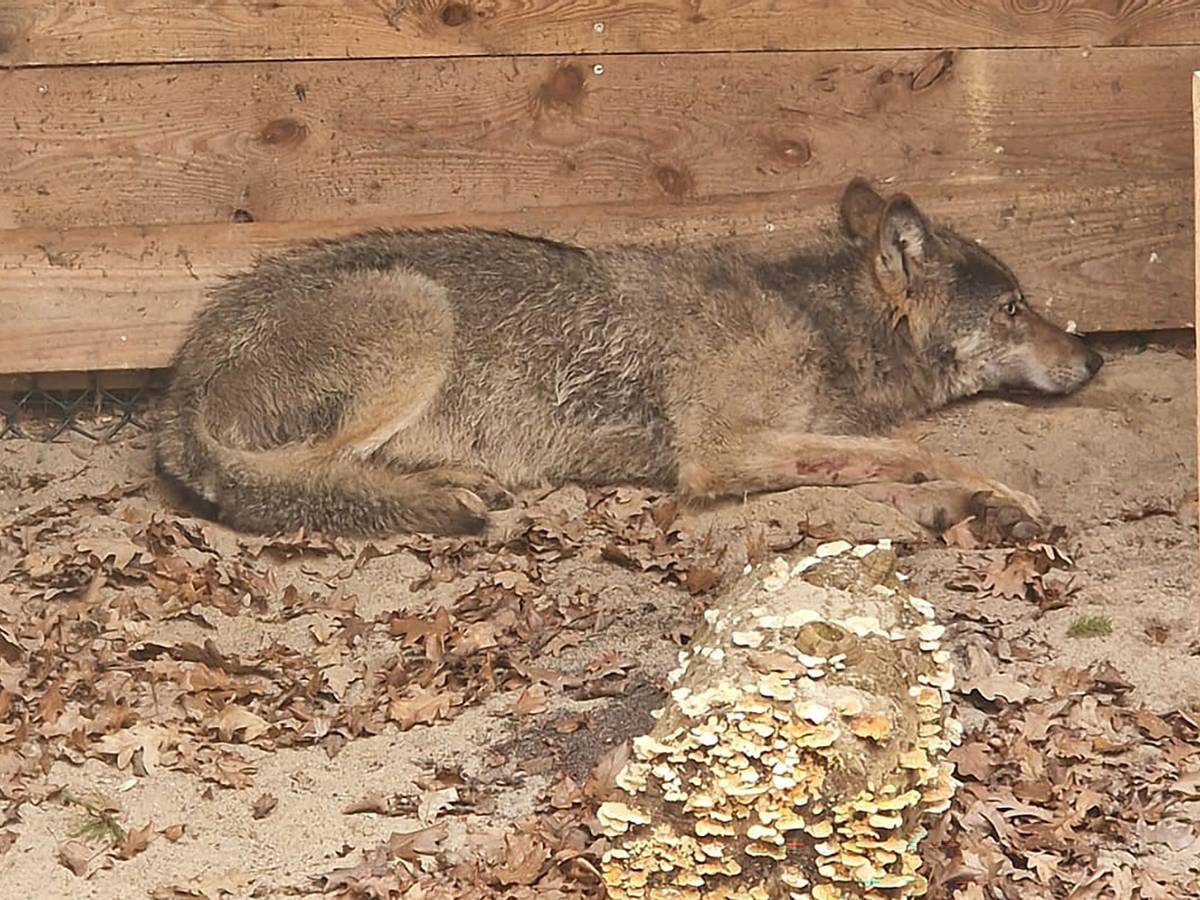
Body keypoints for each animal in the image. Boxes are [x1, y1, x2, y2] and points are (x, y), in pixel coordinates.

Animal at [154, 178, 1103, 537]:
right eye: (1016, 309)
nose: (1095, 358)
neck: (814, 321)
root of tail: (177, 387)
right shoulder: (718, 454)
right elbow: (919, 450)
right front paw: (1001, 495)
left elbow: (886, 456)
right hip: (419, 312)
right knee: (302, 479)